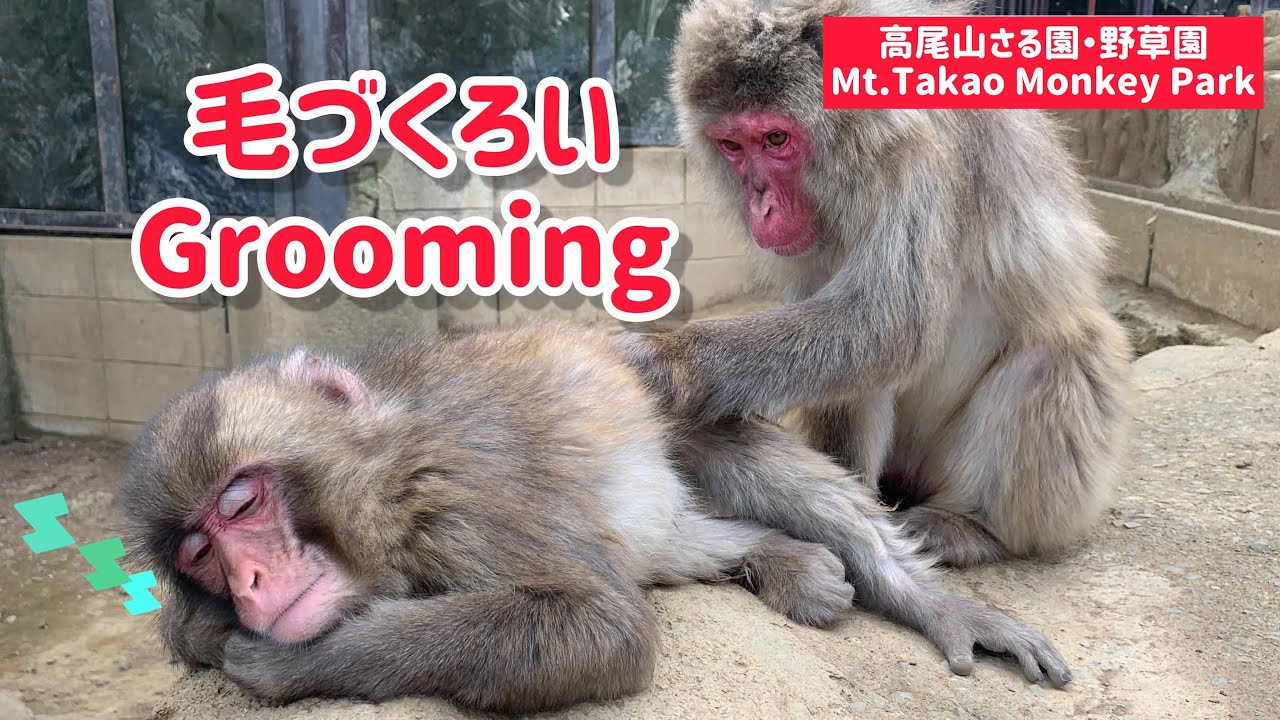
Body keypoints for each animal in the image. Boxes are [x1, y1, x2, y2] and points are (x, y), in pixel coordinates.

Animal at [118, 322, 1071, 714]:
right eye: (198, 550)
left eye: (241, 500)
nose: (247, 581)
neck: (387, 487)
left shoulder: (469, 491)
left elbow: (602, 624)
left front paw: (293, 662)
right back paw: (782, 559)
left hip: (679, 400)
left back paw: (929, 601)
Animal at [619, 0, 1135, 568]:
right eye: (732, 145)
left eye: (775, 139)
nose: (760, 204)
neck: (863, 138)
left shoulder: (926, 152)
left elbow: (892, 323)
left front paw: (667, 361)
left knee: (1062, 349)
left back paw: (973, 525)